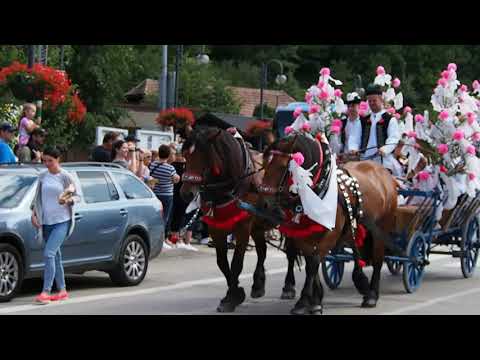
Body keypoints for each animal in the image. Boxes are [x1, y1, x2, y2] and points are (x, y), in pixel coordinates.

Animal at [180, 126, 300, 312]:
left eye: (203, 157)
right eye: (185, 155)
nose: (186, 193)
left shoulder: (242, 227)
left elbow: (237, 263)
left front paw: (231, 297)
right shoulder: (217, 228)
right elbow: (222, 263)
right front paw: (235, 292)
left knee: (291, 253)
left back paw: (288, 286)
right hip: (258, 226)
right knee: (262, 251)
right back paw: (258, 284)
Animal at [256, 134, 400, 314]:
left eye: (283, 167)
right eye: (265, 165)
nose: (264, 205)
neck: (317, 191)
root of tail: (384, 173)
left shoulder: (330, 234)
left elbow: (314, 263)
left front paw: (306, 302)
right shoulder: (303, 236)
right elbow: (311, 263)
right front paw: (314, 299)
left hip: (381, 228)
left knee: (378, 258)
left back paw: (372, 295)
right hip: (354, 228)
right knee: (356, 250)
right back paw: (362, 283)